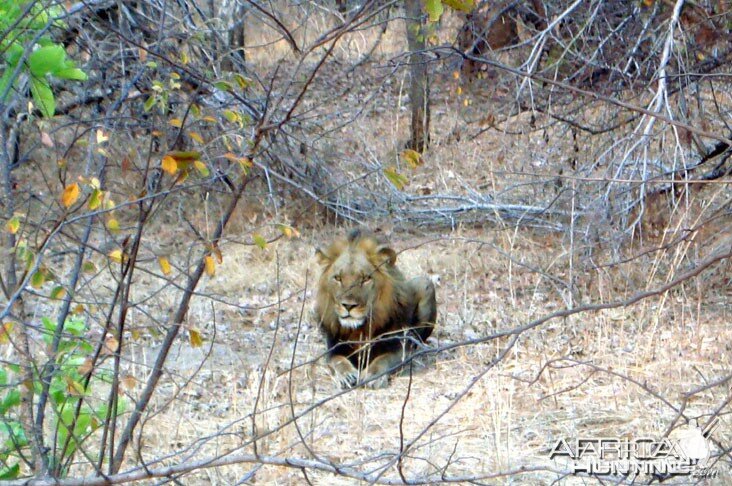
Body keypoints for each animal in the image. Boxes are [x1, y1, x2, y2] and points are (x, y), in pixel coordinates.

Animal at [314, 230, 434, 390]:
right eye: (338, 278)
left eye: (365, 278)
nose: (348, 306)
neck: (359, 329)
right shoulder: (333, 348)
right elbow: (337, 360)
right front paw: (347, 375)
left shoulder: (398, 347)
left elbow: (383, 360)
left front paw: (372, 376)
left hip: (425, 284)